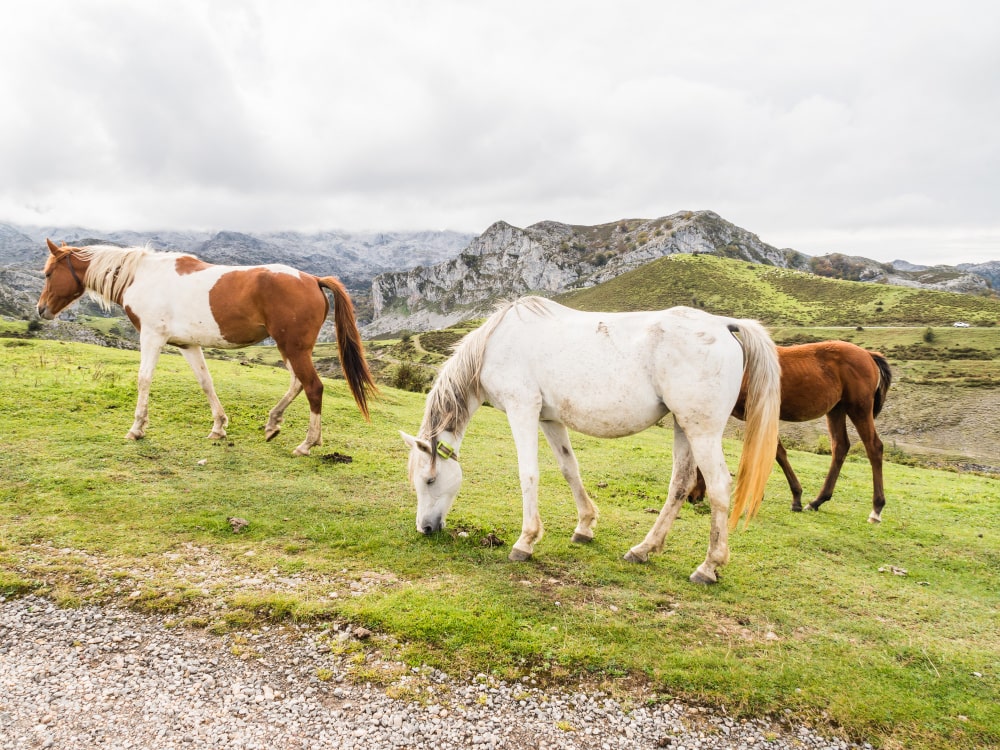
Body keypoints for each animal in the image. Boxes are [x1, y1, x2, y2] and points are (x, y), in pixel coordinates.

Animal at [36, 238, 376, 455]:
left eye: (49, 273)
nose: (41, 310)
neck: (141, 277)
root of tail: (313, 279)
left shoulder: (152, 337)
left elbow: (144, 380)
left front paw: (137, 429)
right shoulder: (187, 345)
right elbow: (205, 382)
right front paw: (219, 427)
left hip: (293, 347)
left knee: (313, 387)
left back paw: (307, 444)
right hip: (289, 348)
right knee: (297, 383)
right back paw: (272, 424)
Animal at [401, 296, 781, 584]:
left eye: (429, 479)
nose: (425, 528)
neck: (495, 343)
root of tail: (723, 324)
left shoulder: (522, 409)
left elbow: (528, 475)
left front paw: (525, 542)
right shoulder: (549, 419)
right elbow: (569, 468)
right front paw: (584, 526)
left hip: (702, 431)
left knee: (718, 487)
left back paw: (708, 566)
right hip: (683, 426)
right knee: (681, 484)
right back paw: (642, 550)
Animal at [689, 341, 892, 523]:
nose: (692, 498)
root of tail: (869, 355)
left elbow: (767, 451)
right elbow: (775, 452)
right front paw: (792, 498)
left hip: (859, 409)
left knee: (874, 447)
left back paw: (876, 509)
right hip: (836, 409)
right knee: (840, 446)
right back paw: (817, 501)